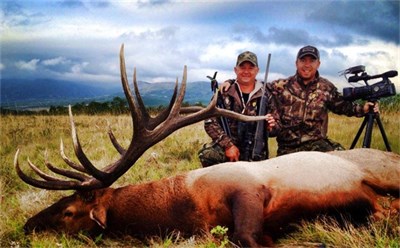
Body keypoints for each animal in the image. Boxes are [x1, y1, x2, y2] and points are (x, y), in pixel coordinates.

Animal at [14, 45, 398, 247]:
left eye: (68, 211)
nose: (28, 225)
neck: (187, 208)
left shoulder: (248, 190)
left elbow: (245, 233)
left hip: (385, 171)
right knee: (380, 209)